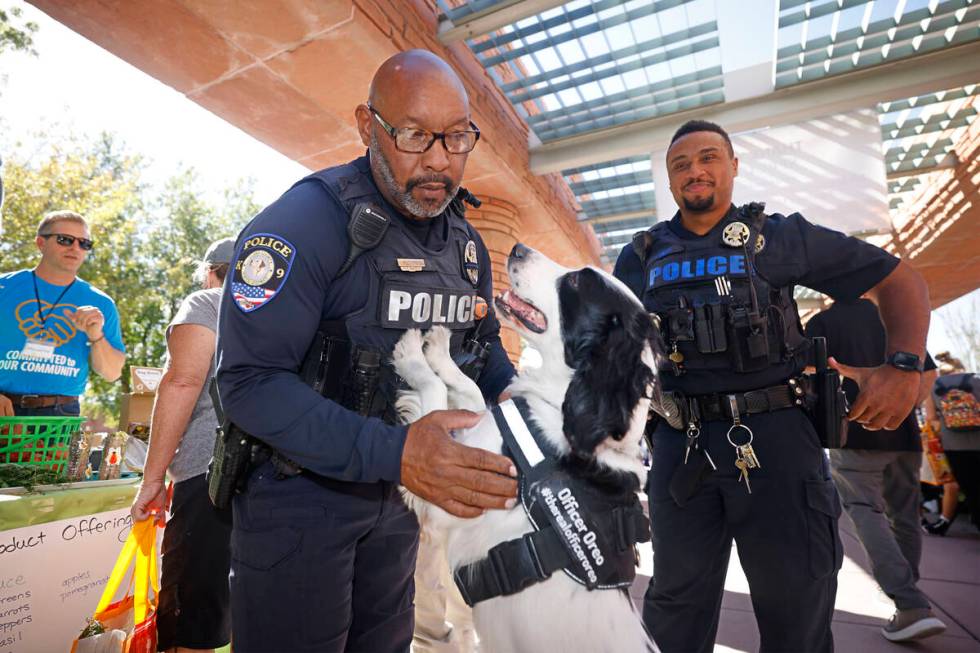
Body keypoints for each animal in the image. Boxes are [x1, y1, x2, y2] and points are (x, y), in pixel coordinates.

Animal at [394, 243, 664, 652]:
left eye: (575, 282)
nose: (518, 248)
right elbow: (470, 393)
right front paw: (439, 347)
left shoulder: (447, 501)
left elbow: (435, 392)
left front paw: (412, 352)